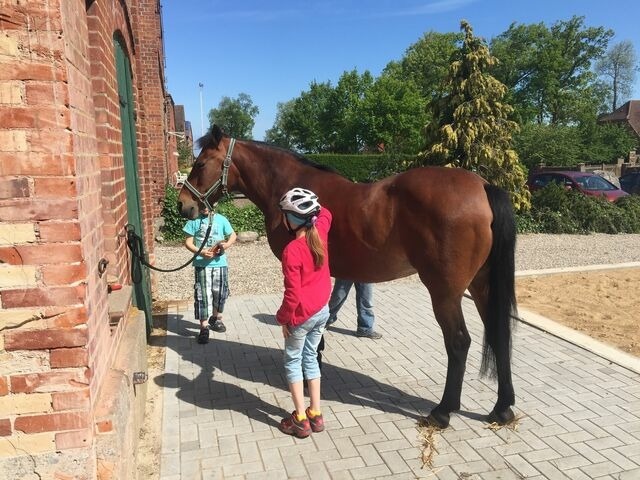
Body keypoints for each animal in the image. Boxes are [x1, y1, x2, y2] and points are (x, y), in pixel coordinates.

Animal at [178, 124, 516, 428]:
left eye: (200, 164)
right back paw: (502, 408)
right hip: (482, 286)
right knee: (499, 335)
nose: (183, 205)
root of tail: (483, 187)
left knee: (458, 342)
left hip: (445, 292)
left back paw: (443, 412)